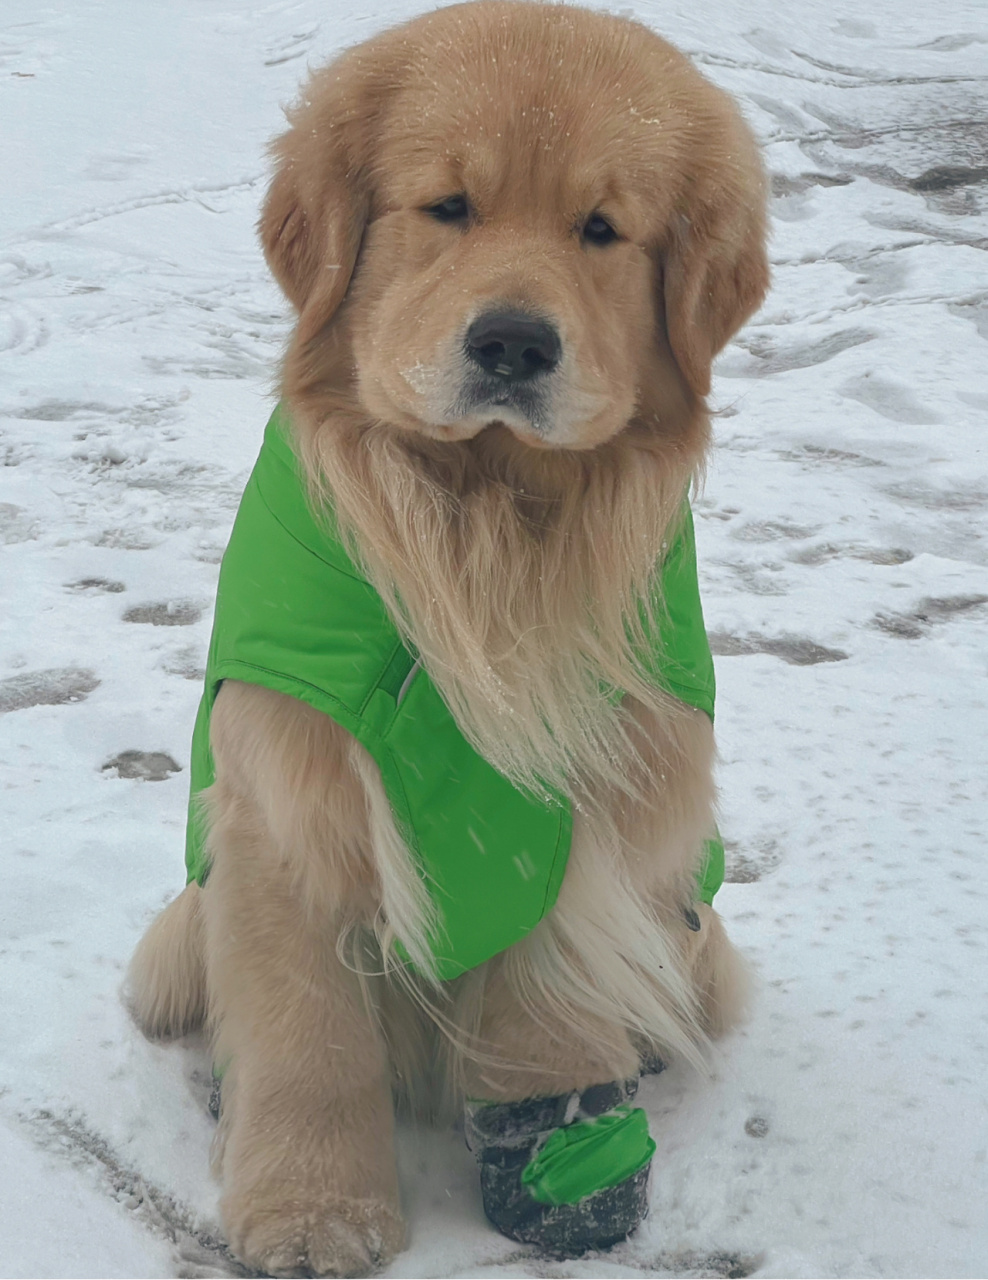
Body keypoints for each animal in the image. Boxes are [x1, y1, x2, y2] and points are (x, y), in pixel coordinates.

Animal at [127, 5, 767, 1274]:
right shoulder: (287, 799)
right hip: (175, 938)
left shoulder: (588, 806)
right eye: (448, 207)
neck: (483, 518)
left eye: (601, 229)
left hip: (697, 930)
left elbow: (546, 1010)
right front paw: (314, 1207)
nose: (513, 344)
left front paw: (563, 1181)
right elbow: (305, 1029)